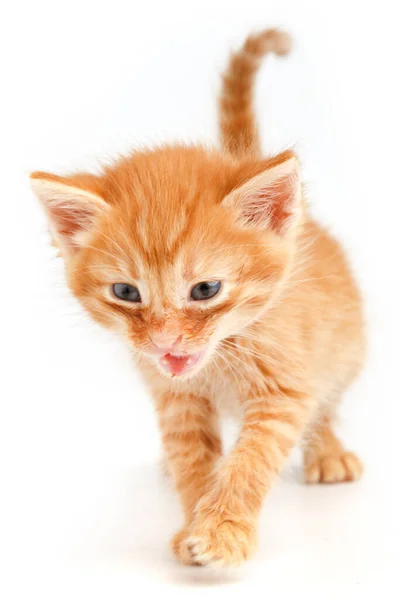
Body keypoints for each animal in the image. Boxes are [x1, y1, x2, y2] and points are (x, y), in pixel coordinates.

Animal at [29, 30, 364, 568]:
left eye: (205, 290)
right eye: (126, 292)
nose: (166, 341)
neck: (222, 359)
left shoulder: (285, 387)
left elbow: (255, 455)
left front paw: (223, 529)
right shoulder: (175, 396)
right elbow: (192, 456)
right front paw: (194, 520)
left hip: (344, 350)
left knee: (326, 402)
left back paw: (328, 451)